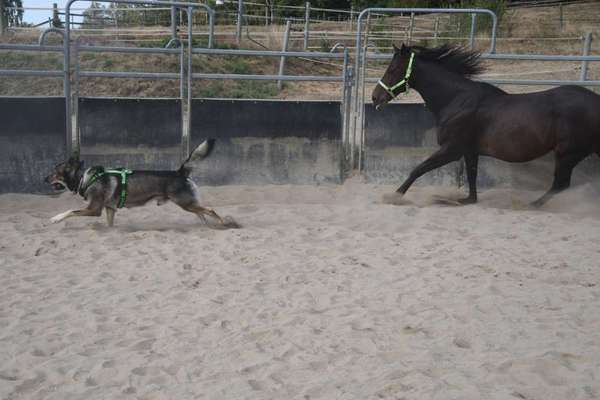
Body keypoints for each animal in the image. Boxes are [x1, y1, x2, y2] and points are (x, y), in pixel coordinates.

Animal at [45, 140, 239, 228]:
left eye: (54, 172)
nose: (43, 179)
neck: (85, 178)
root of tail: (179, 171)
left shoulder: (94, 209)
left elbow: (71, 211)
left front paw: (56, 218)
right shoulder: (110, 209)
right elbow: (110, 225)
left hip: (185, 203)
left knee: (210, 210)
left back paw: (224, 223)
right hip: (189, 204)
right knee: (202, 213)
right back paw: (207, 227)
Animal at [370, 43, 600, 206]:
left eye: (392, 70)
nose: (374, 97)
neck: (457, 100)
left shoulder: (452, 149)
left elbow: (418, 169)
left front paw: (394, 196)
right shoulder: (470, 151)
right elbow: (472, 179)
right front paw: (459, 200)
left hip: (567, 153)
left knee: (560, 184)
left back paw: (532, 205)